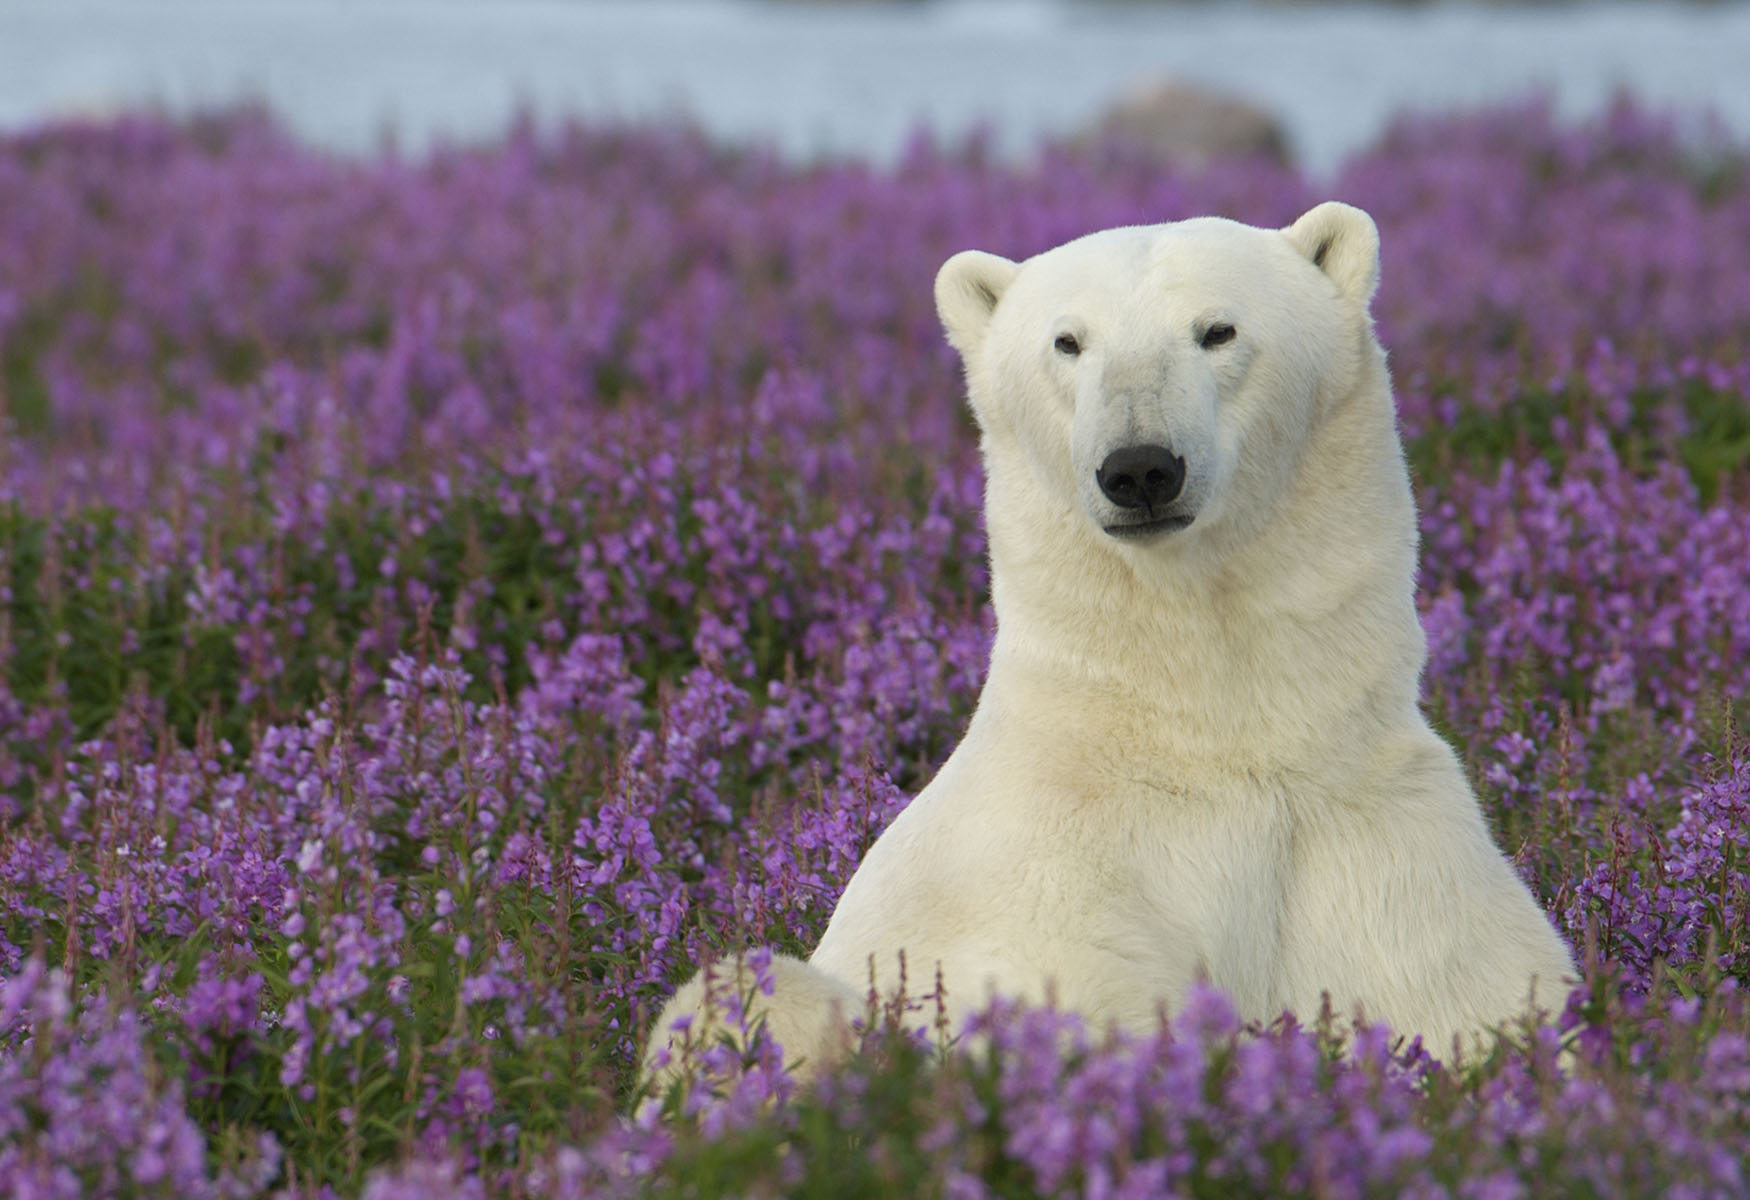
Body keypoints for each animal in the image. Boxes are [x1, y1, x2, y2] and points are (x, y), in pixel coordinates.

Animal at [644, 202, 1575, 1084]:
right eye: (1068, 341)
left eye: (1217, 329)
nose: (1140, 468)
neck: (1203, 735)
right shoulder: (1040, 900)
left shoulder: (1383, 854)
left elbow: (1480, 1010)